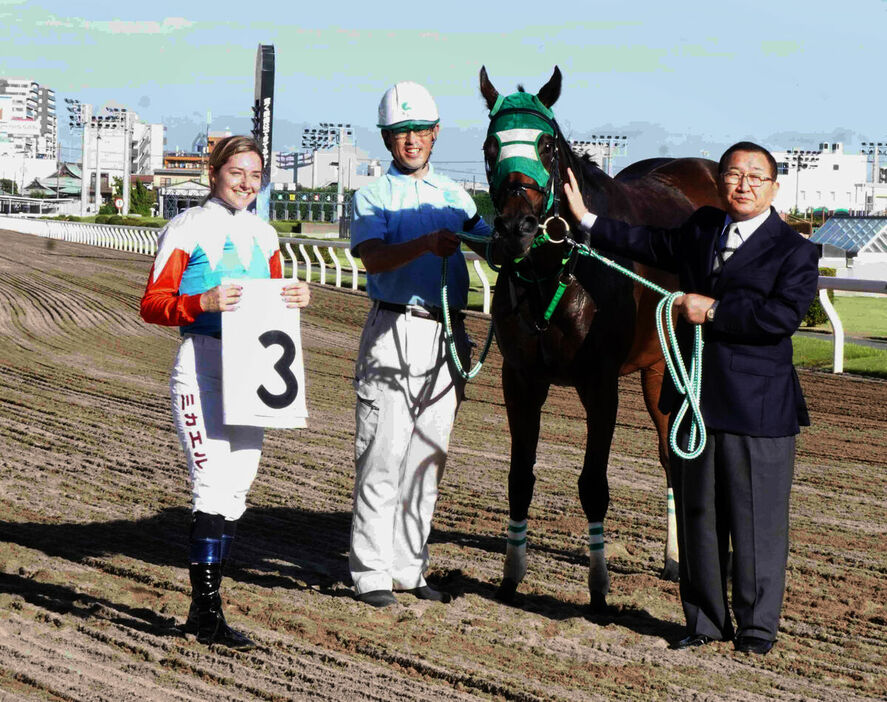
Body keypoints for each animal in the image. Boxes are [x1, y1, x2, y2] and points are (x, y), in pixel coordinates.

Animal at [478, 69, 728, 612]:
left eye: (547, 145)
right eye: (490, 145)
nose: (515, 228)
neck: (559, 271)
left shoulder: (600, 383)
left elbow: (593, 484)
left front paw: (598, 590)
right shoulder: (520, 378)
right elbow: (519, 476)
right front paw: (511, 575)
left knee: (680, 455)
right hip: (658, 367)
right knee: (670, 454)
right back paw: (674, 560)